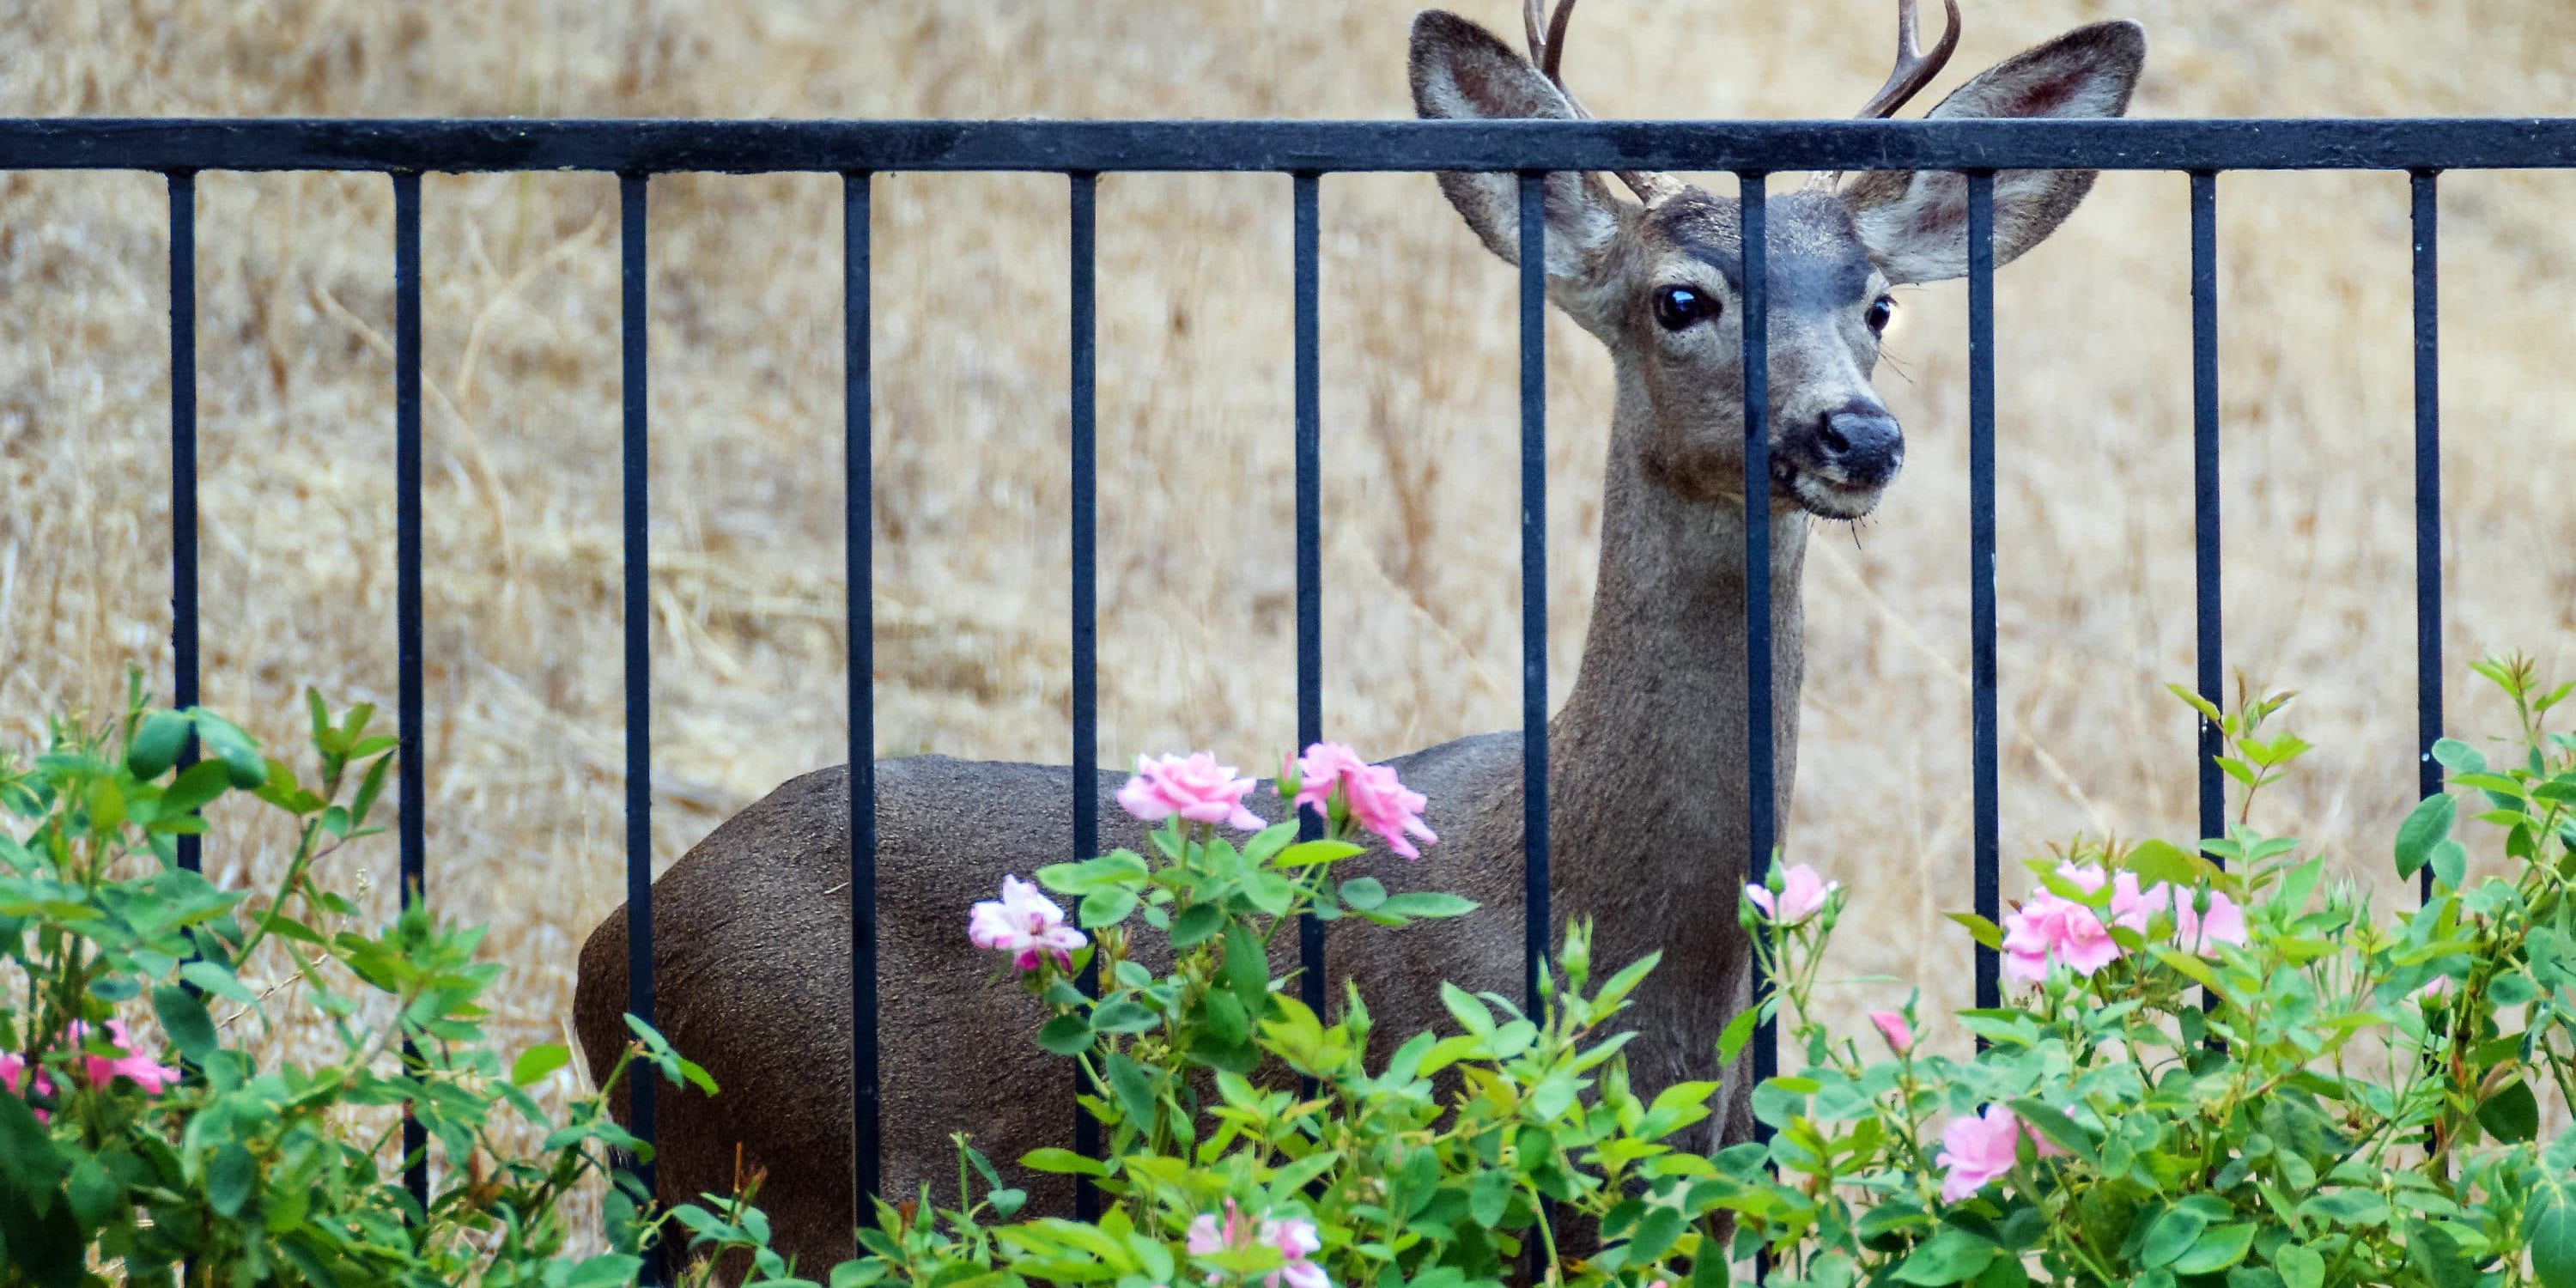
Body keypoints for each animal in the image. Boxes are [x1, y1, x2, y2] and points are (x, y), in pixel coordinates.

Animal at [573, 1, 2143, 1275]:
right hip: (785, 1167)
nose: (1856, 435)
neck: (1624, 930)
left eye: (1878, 307)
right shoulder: (1440, 1144)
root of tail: (607, 954)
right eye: (1681, 298)